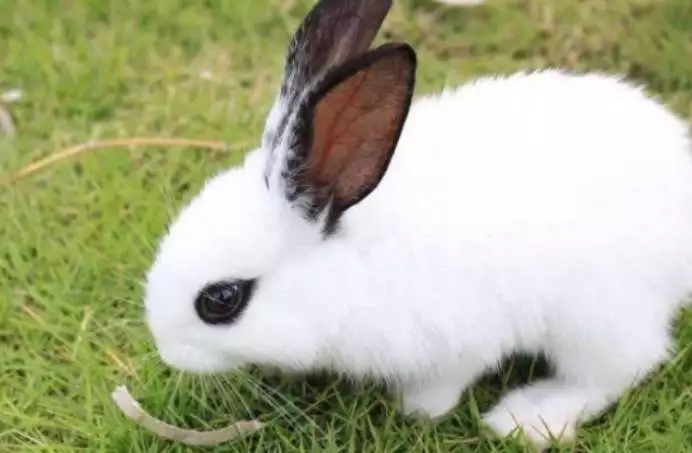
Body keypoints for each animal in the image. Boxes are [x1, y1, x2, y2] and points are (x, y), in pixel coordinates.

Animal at [142, 0, 692, 449]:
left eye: (221, 300)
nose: (167, 352)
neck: (345, 269)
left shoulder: (459, 340)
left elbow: (443, 385)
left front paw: (417, 412)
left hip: (598, 317)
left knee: (618, 369)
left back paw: (529, 416)